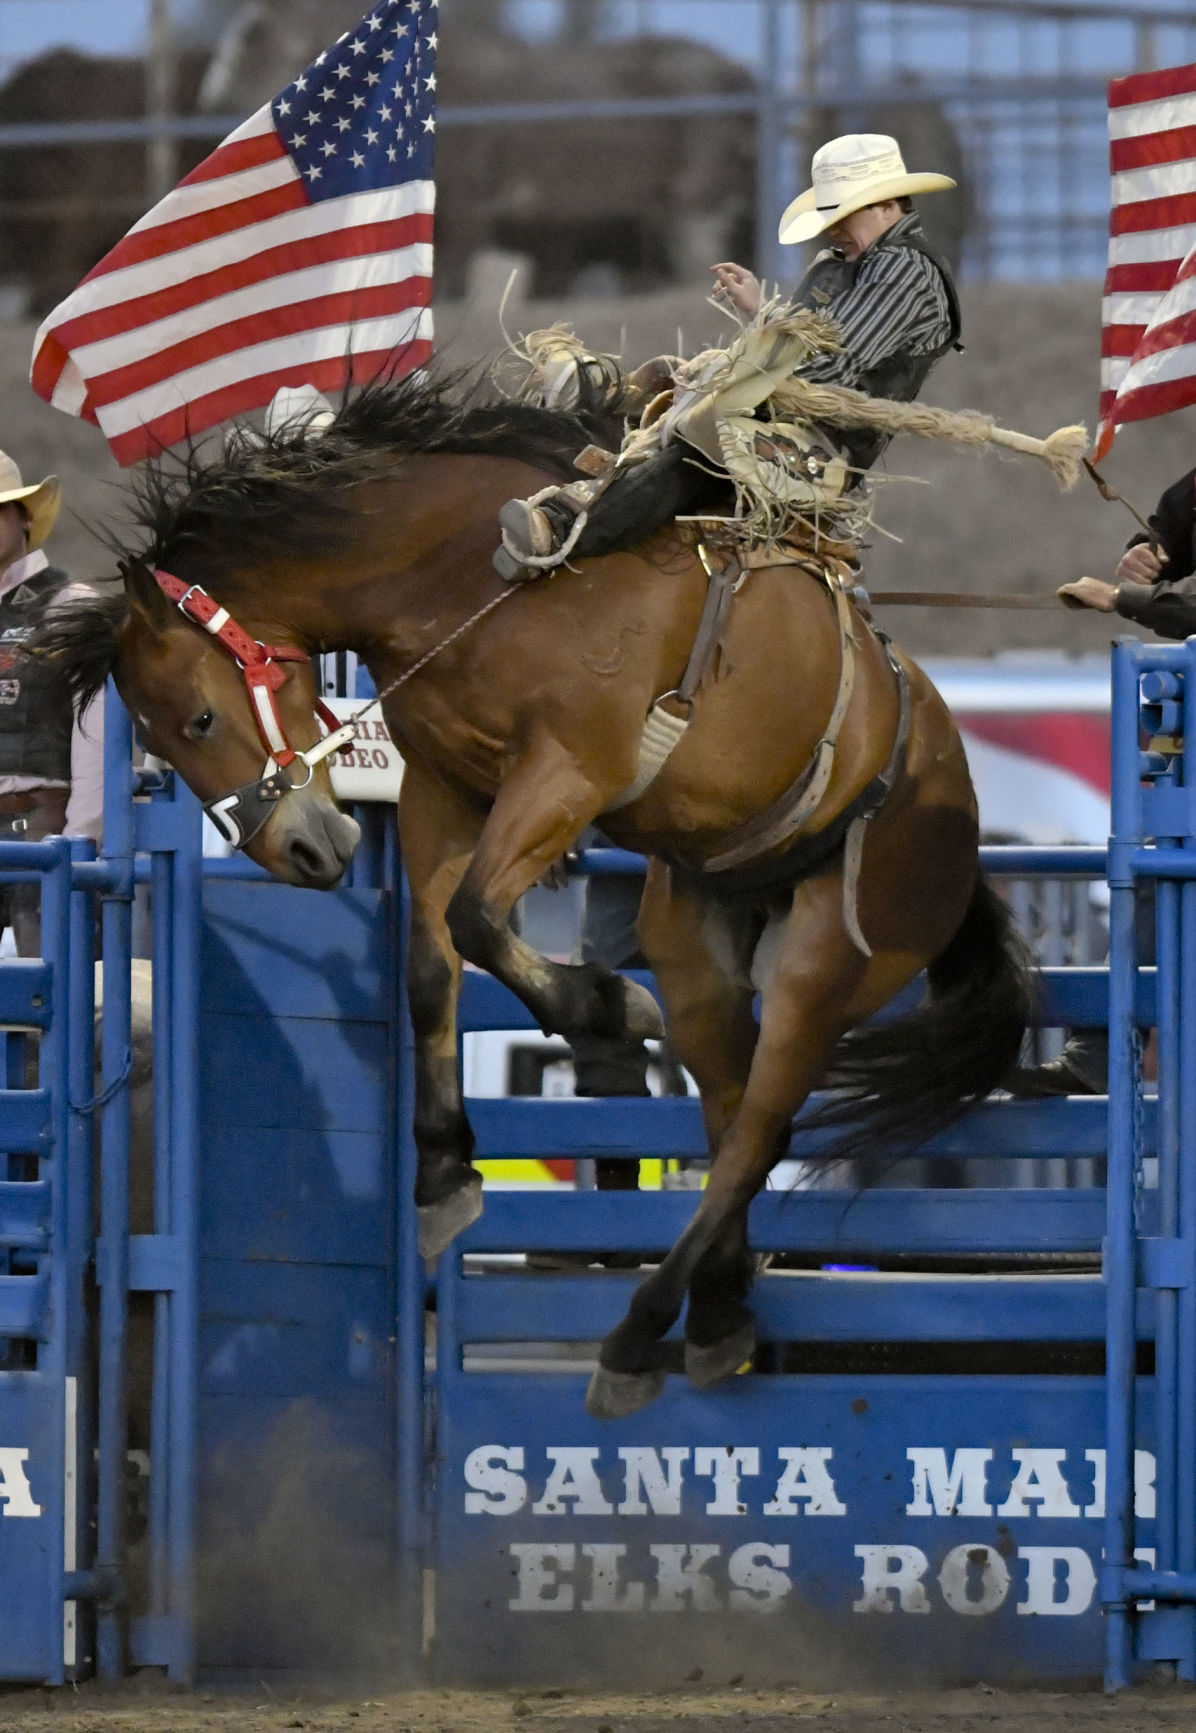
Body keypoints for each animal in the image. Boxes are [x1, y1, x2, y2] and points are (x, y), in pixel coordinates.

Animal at [37, 372, 1026, 1414]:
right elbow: (431, 963)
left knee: (762, 1130)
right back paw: (719, 1316)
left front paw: (603, 1003)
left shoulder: (566, 774)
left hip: (825, 964)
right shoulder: (442, 788)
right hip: (699, 939)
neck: (469, 577)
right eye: (159, 733)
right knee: (729, 1121)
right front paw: (443, 1172)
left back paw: (636, 1336)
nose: (298, 851)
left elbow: (476, 919)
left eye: (194, 716)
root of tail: (956, 809)